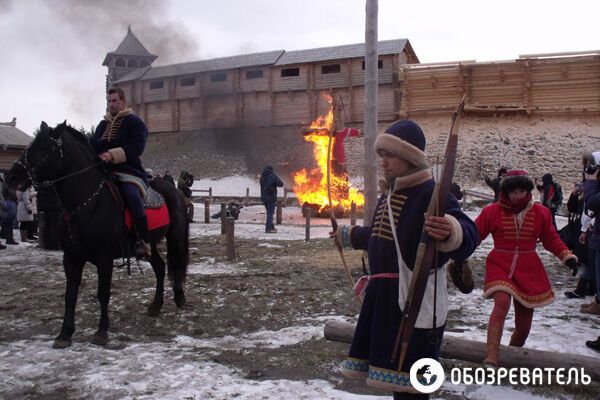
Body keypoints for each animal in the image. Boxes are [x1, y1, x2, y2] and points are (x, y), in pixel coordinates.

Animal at [8, 120, 189, 348]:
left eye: (42, 149)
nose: (11, 177)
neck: (85, 204)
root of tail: (173, 190)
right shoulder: (71, 258)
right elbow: (70, 295)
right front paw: (64, 334)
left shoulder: (104, 259)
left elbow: (103, 293)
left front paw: (101, 332)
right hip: (150, 244)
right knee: (160, 267)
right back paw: (156, 305)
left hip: (175, 237)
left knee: (176, 264)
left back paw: (179, 297)